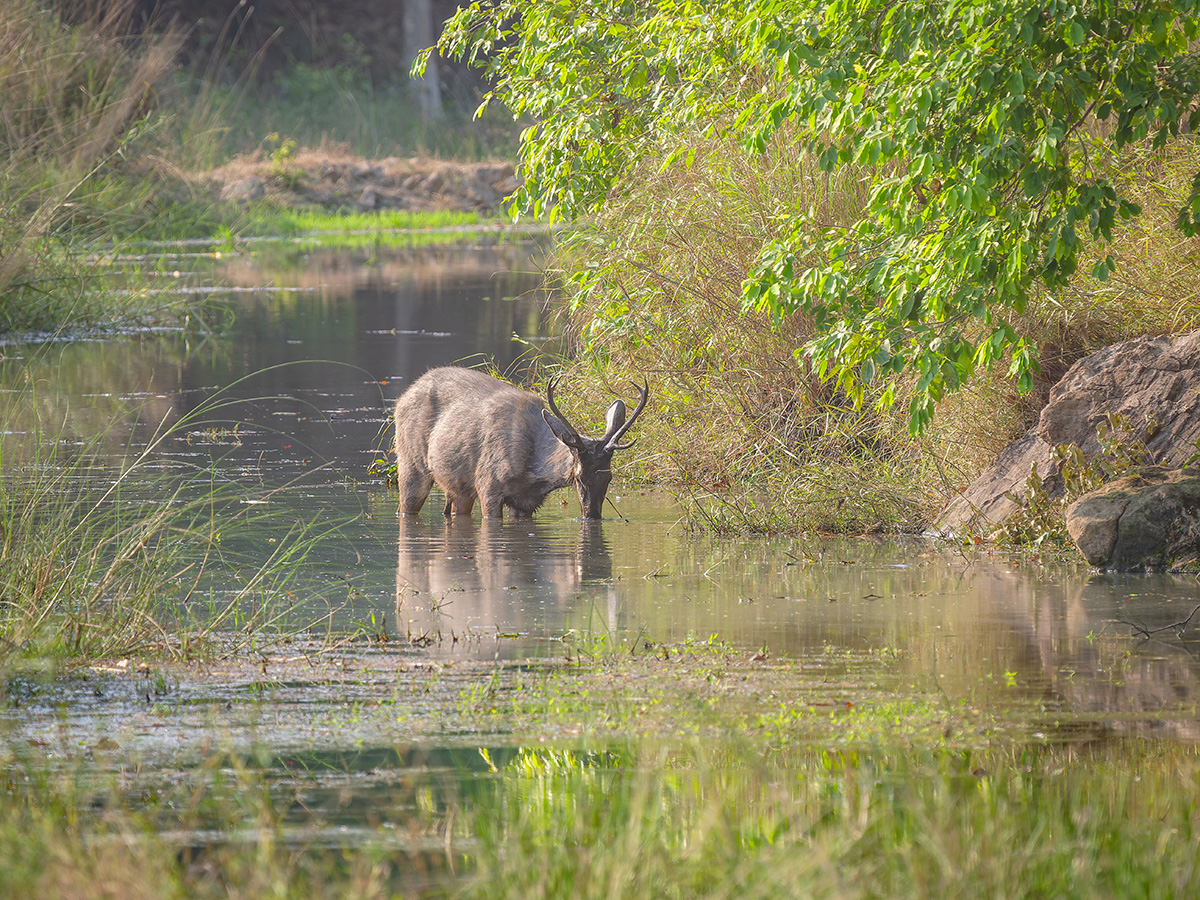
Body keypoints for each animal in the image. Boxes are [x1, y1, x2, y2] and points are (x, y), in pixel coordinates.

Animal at [392, 366, 649, 519]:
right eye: (579, 478)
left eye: (609, 477)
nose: (592, 515)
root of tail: (402, 397)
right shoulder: (488, 486)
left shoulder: (526, 503)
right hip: (411, 464)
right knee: (404, 506)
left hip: (458, 487)